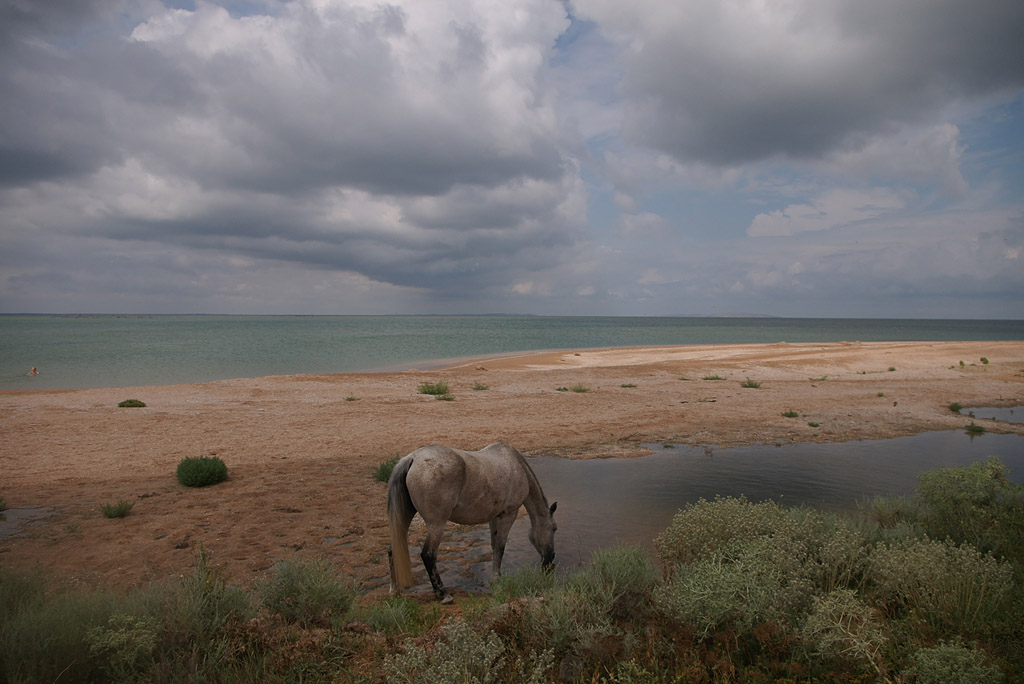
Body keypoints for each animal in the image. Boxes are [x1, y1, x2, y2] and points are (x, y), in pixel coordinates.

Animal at [387, 441, 557, 603]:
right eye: (554, 528)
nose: (550, 561)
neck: (517, 466)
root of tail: (413, 458)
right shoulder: (509, 515)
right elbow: (501, 547)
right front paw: (497, 580)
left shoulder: (494, 517)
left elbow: (495, 546)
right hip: (437, 524)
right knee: (428, 555)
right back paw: (443, 595)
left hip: (406, 517)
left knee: (393, 550)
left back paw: (394, 591)